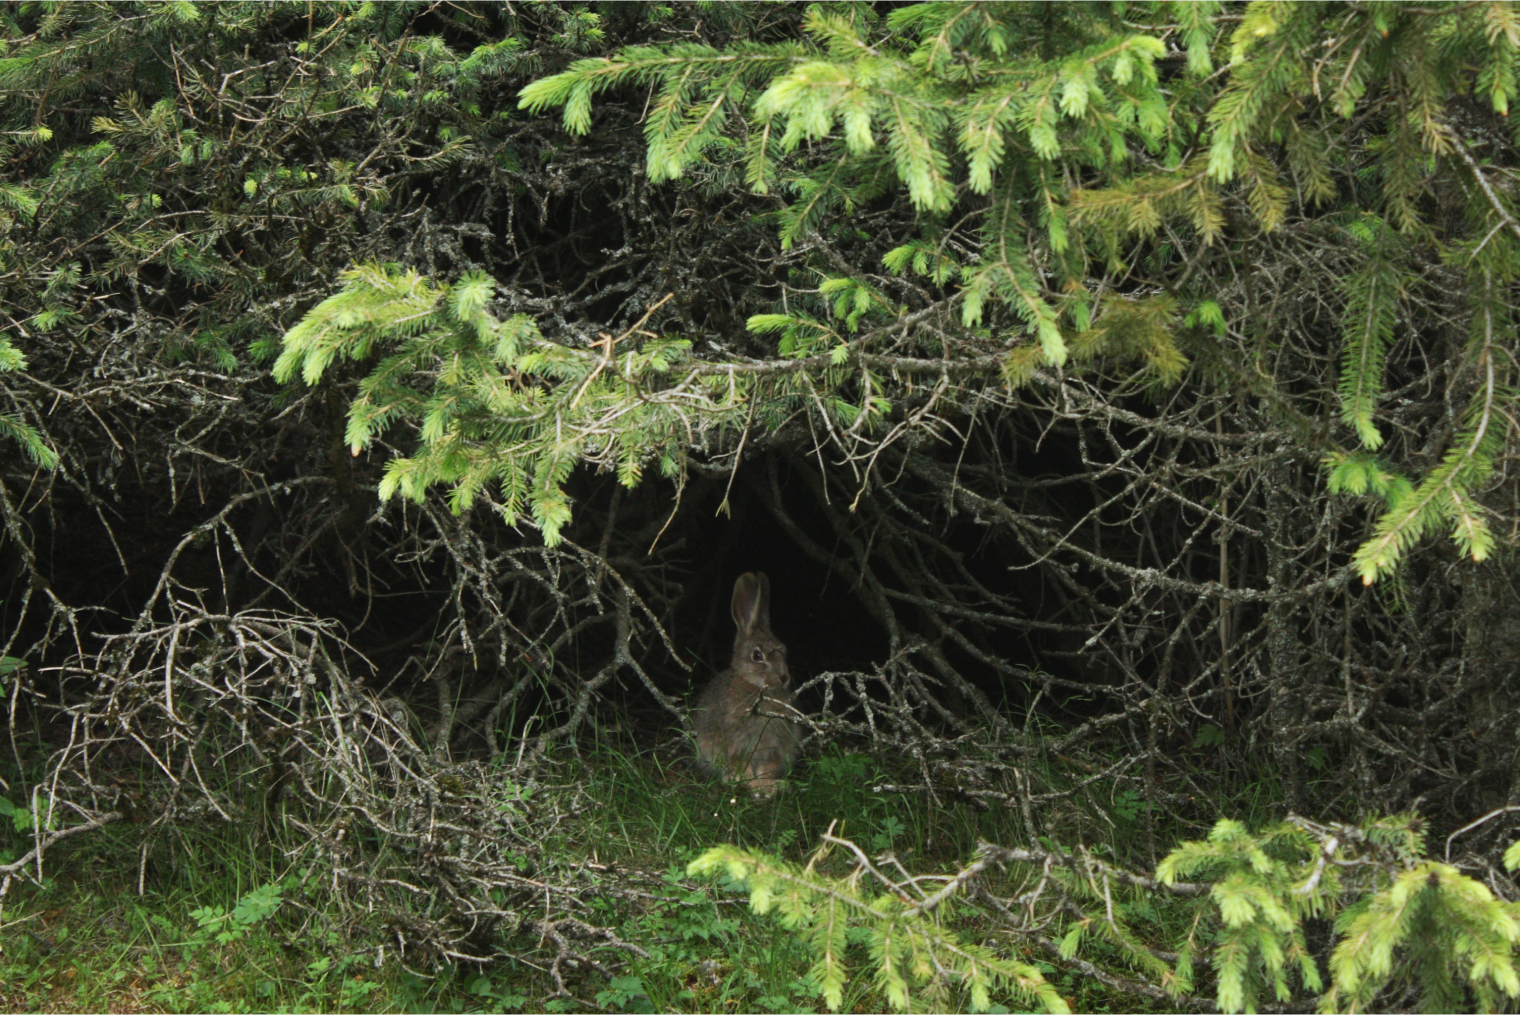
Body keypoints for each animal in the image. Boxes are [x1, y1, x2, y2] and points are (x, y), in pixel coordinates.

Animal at [696, 574, 802, 796]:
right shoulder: (734, 744)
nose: (784, 677)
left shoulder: (774, 745)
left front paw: (769, 786)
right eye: (757, 656)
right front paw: (747, 784)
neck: (754, 688)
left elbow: (766, 768)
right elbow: (740, 765)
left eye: (784, 651)